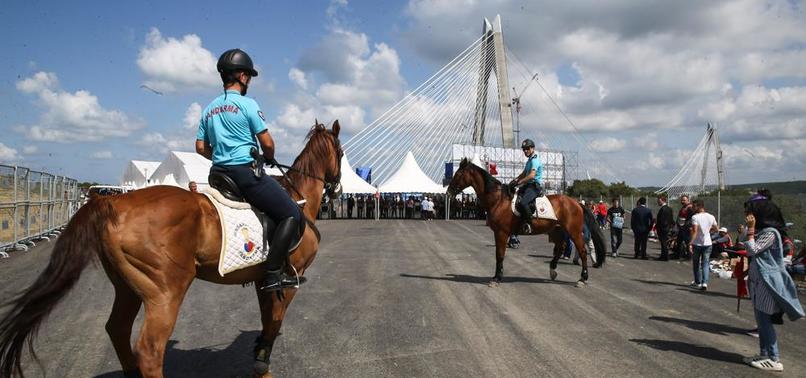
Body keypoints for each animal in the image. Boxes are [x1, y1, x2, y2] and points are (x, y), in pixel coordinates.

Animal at [0, 120, 344, 376]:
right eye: (340, 152)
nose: (337, 189)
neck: (298, 198)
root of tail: (113, 202)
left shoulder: (264, 280)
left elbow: (266, 322)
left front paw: (260, 361)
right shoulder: (289, 280)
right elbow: (273, 324)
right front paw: (262, 364)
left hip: (127, 287)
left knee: (117, 330)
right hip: (165, 292)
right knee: (150, 350)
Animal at [448, 159, 608, 286]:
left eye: (458, 174)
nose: (449, 191)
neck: (498, 200)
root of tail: (577, 203)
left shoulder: (502, 233)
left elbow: (500, 254)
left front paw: (497, 278)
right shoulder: (499, 233)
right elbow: (498, 254)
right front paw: (496, 276)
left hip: (573, 231)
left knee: (581, 251)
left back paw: (582, 278)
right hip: (558, 230)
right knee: (560, 248)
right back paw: (553, 270)